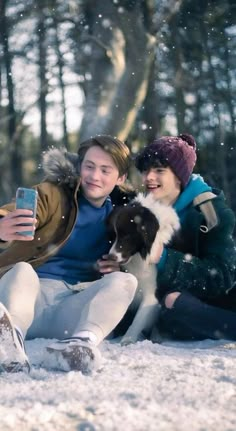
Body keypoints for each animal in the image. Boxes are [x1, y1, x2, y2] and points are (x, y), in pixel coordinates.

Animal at [108, 194, 180, 346]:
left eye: (126, 236)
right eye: (112, 236)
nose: (111, 257)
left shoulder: (151, 295)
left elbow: (138, 320)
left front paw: (127, 340)